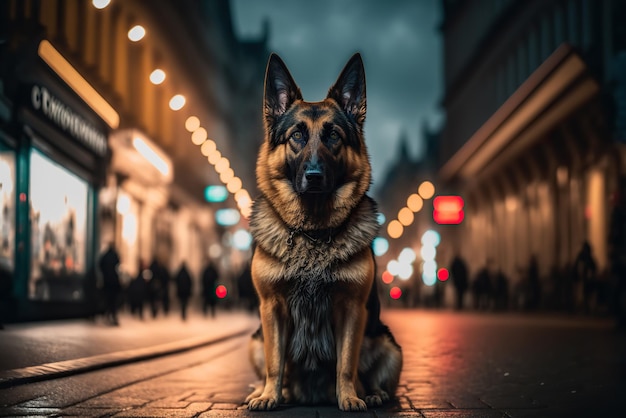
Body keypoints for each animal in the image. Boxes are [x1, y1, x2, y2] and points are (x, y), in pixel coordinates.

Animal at [245, 52, 400, 412]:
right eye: (297, 136)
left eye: (333, 136)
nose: (314, 176)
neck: (313, 234)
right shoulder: (271, 309)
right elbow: (275, 362)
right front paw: (269, 396)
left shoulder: (352, 309)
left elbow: (346, 363)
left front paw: (350, 397)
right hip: (254, 341)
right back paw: (275, 392)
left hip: (389, 345)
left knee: (369, 372)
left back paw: (371, 393)